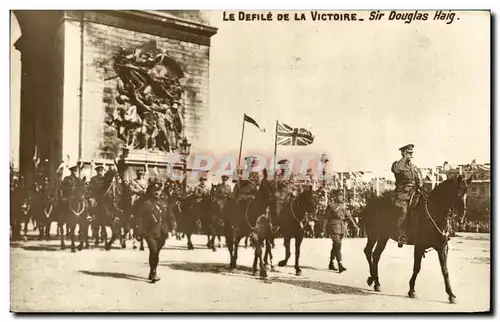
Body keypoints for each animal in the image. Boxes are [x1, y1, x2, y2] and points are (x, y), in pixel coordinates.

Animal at [362, 175, 470, 304]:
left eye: (467, 193)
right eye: (458, 193)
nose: (462, 218)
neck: (434, 213)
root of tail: (371, 203)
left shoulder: (442, 247)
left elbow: (445, 271)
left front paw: (451, 294)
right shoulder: (419, 246)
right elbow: (417, 268)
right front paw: (412, 290)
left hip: (383, 237)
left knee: (376, 255)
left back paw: (375, 281)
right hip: (373, 235)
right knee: (368, 251)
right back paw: (372, 279)